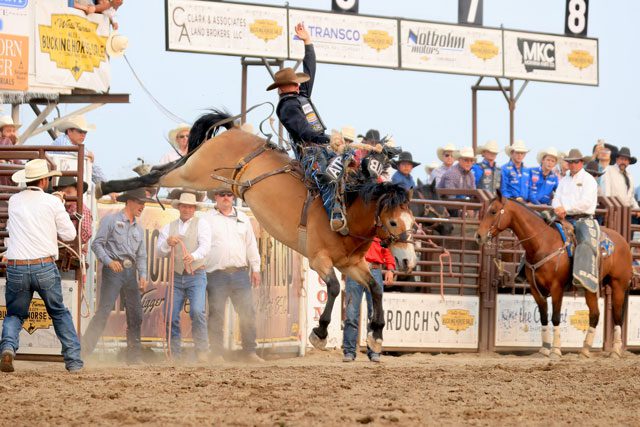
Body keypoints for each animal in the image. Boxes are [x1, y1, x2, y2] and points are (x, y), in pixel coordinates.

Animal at [96, 110, 418, 353]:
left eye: (413, 223)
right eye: (393, 222)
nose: (408, 261)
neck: (344, 210)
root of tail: (235, 131)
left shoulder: (350, 264)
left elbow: (375, 288)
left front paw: (376, 335)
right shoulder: (319, 260)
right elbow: (335, 289)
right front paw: (320, 333)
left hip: (198, 170)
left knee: (165, 166)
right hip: (196, 174)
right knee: (159, 175)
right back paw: (108, 186)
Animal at [475, 190, 632, 358]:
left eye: (493, 211)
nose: (478, 236)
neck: (543, 242)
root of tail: (622, 241)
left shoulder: (557, 288)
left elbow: (555, 317)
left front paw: (556, 350)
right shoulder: (535, 289)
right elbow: (544, 317)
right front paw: (544, 348)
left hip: (618, 285)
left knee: (617, 316)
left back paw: (615, 350)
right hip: (590, 287)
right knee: (595, 314)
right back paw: (584, 350)